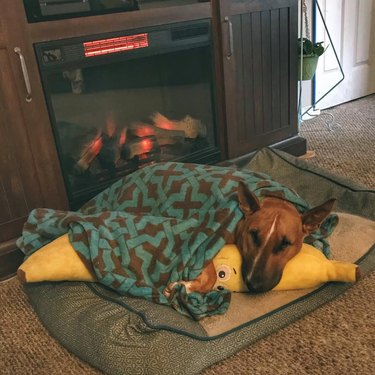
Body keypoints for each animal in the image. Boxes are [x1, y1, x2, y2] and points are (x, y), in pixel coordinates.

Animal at [164, 182, 334, 296]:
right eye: (253, 234)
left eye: (285, 243)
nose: (255, 285)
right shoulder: (209, 238)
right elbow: (210, 272)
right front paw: (183, 286)